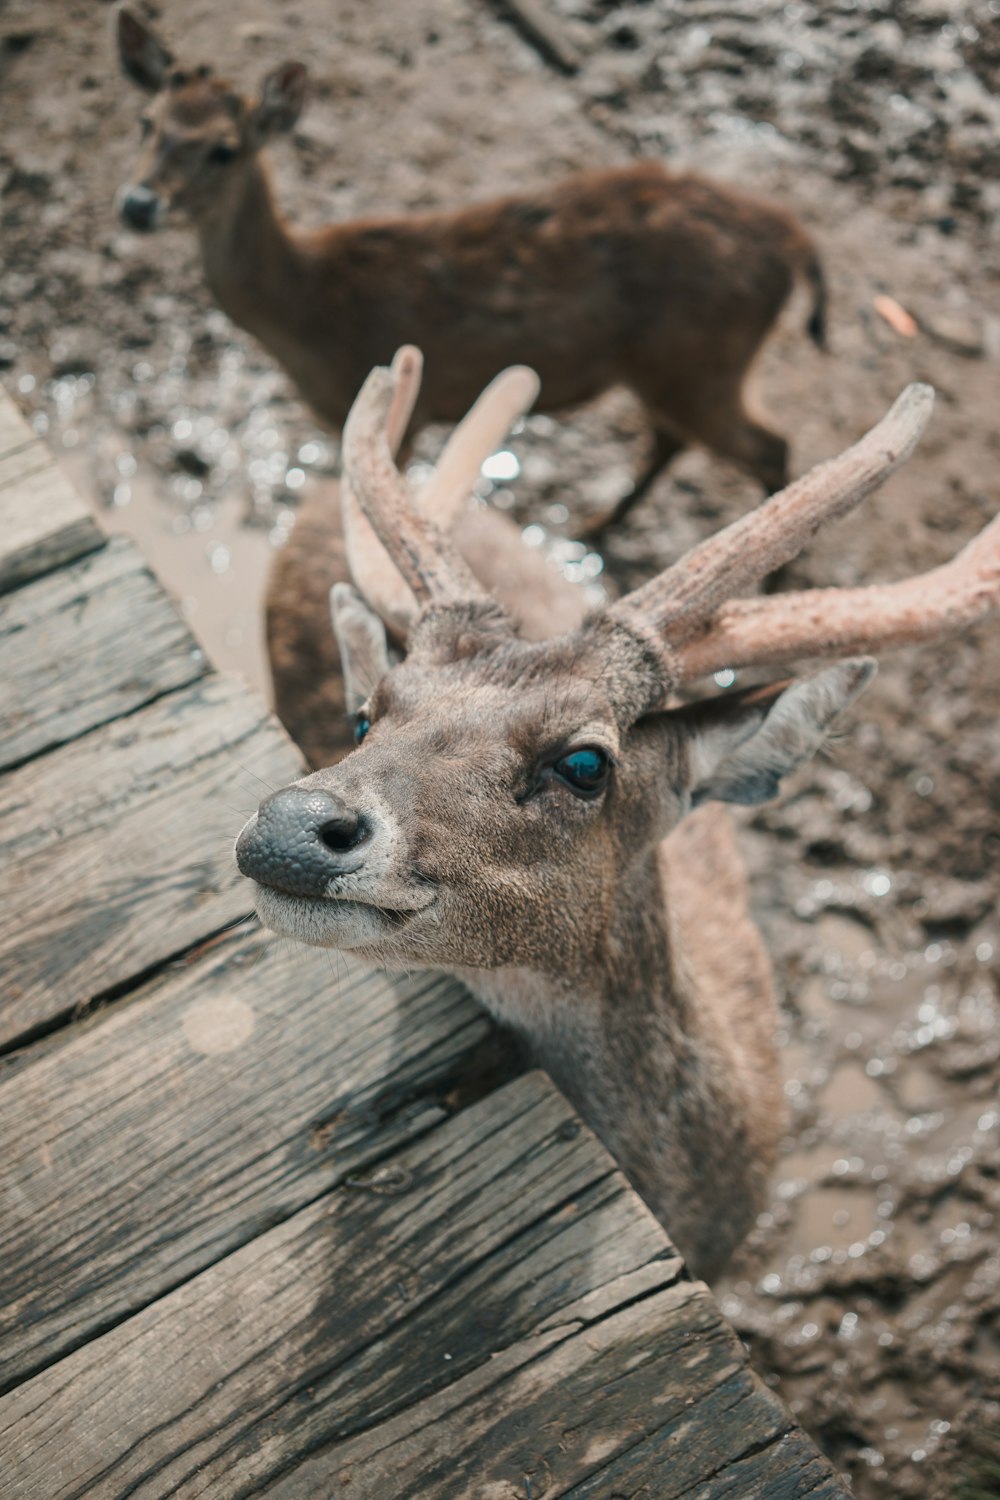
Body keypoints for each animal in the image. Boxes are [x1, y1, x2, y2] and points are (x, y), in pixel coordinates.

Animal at [113, 2, 827, 534]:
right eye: (146, 123)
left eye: (224, 150)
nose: (138, 203)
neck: (311, 311)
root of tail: (791, 239)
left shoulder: (404, 413)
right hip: (673, 366)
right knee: (674, 439)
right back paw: (597, 527)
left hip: (703, 361)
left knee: (772, 445)